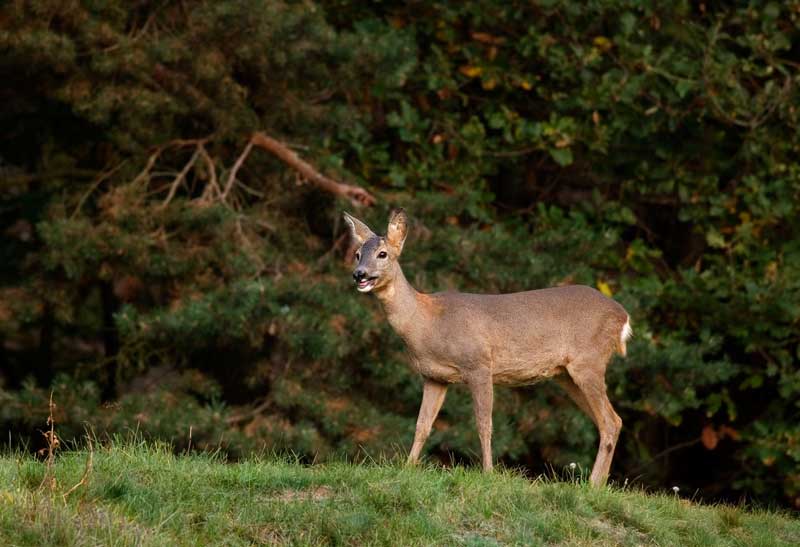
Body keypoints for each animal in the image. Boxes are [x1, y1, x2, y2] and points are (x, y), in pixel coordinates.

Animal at [344, 210, 632, 488]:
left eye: (383, 254)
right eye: (357, 254)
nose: (360, 274)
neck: (427, 323)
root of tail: (623, 317)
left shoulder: (478, 364)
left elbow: (484, 423)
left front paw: (488, 472)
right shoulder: (434, 376)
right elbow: (422, 424)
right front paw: (408, 467)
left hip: (589, 362)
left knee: (610, 420)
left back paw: (593, 485)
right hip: (566, 374)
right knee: (611, 421)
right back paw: (596, 485)